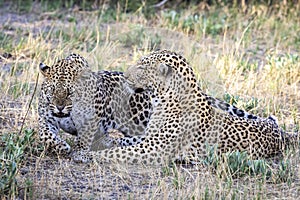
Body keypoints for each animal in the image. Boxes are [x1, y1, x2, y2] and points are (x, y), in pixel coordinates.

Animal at [86, 50, 296, 166]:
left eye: (142, 68)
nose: (125, 75)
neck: (161, 101)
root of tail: (280, 132)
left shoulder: (155, 150)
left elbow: (117, 152)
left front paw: (87, 155)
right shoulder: (149, 140)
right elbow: (126, 142)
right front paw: (106, 142)